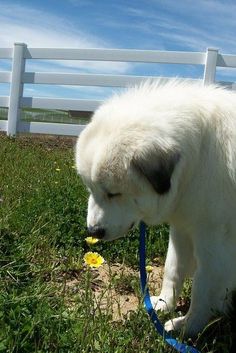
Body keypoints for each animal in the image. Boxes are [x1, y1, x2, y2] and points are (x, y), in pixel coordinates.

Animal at [76, 80, 236, 336]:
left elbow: (203, 288)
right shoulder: (182, 228)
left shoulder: (216, 244)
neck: (197, 160)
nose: (94, 231)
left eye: (113, 193)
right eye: (91, 189)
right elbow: (173, 269)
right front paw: (163, 305)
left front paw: (188, 326)